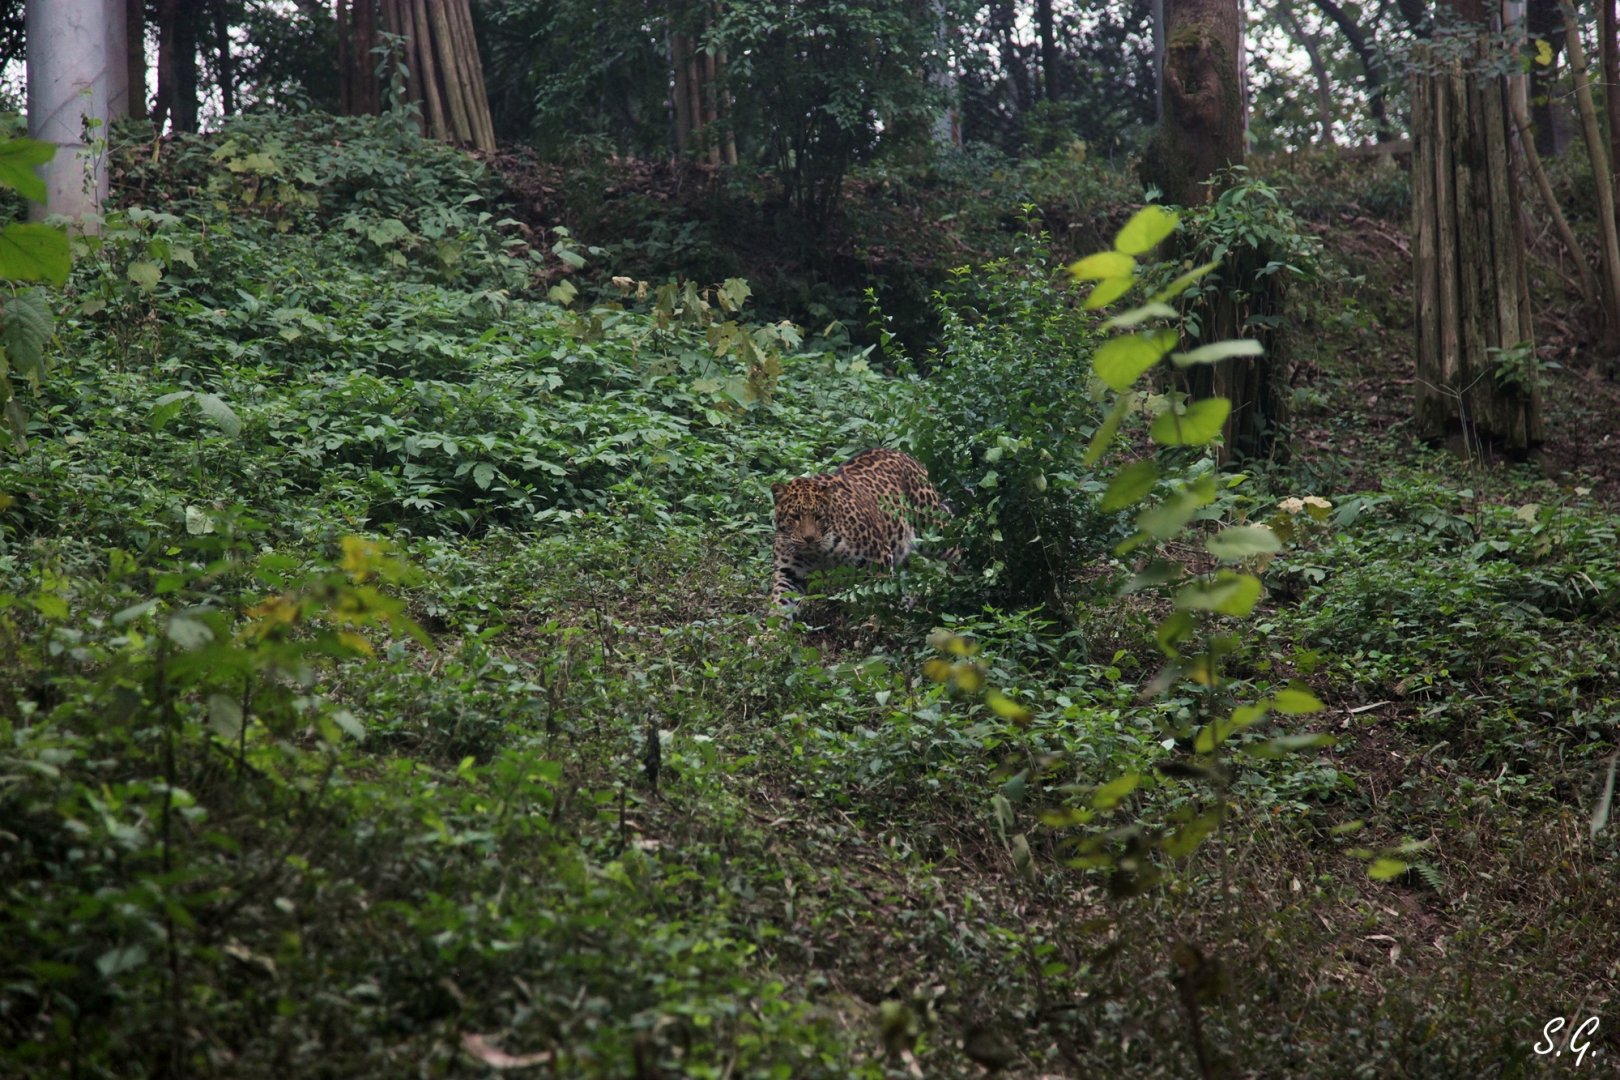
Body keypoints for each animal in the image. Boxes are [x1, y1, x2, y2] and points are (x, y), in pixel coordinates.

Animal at [769, 448, 953, 616]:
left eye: (818, 517)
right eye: (795, 517)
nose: (809, 538)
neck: (818, 553)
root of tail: (907, 455)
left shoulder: (879, 559)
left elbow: (880, 597)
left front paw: (878, 621)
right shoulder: (790, 573)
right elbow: (781, 604)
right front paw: (774, 629)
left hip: (932, 531)